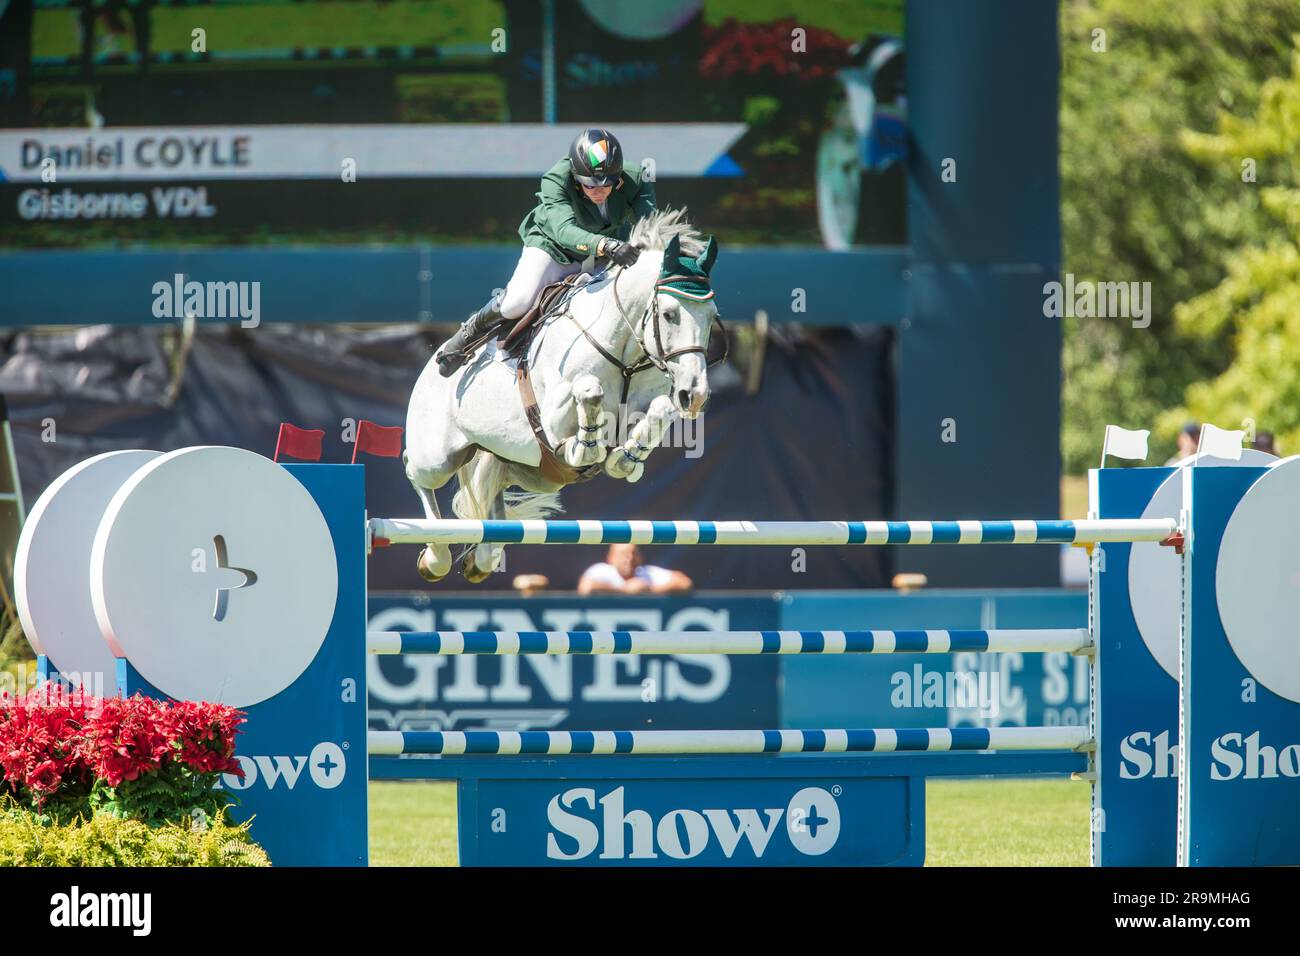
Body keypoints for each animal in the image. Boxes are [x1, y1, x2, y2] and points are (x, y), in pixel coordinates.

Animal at [403, 209, 722, 582]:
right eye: (670, 314)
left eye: (713, 317)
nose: (695, 395)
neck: (625, 354)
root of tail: (430, 366)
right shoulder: (553, 418)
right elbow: (588, 393)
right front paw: (587, 445)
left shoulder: (651, 404)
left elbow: (660, 410)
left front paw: (625, 458)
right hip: (437, 458)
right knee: (416, 470)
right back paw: (435, 557)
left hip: (531, 471)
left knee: (493, 492)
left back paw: (482, 558)